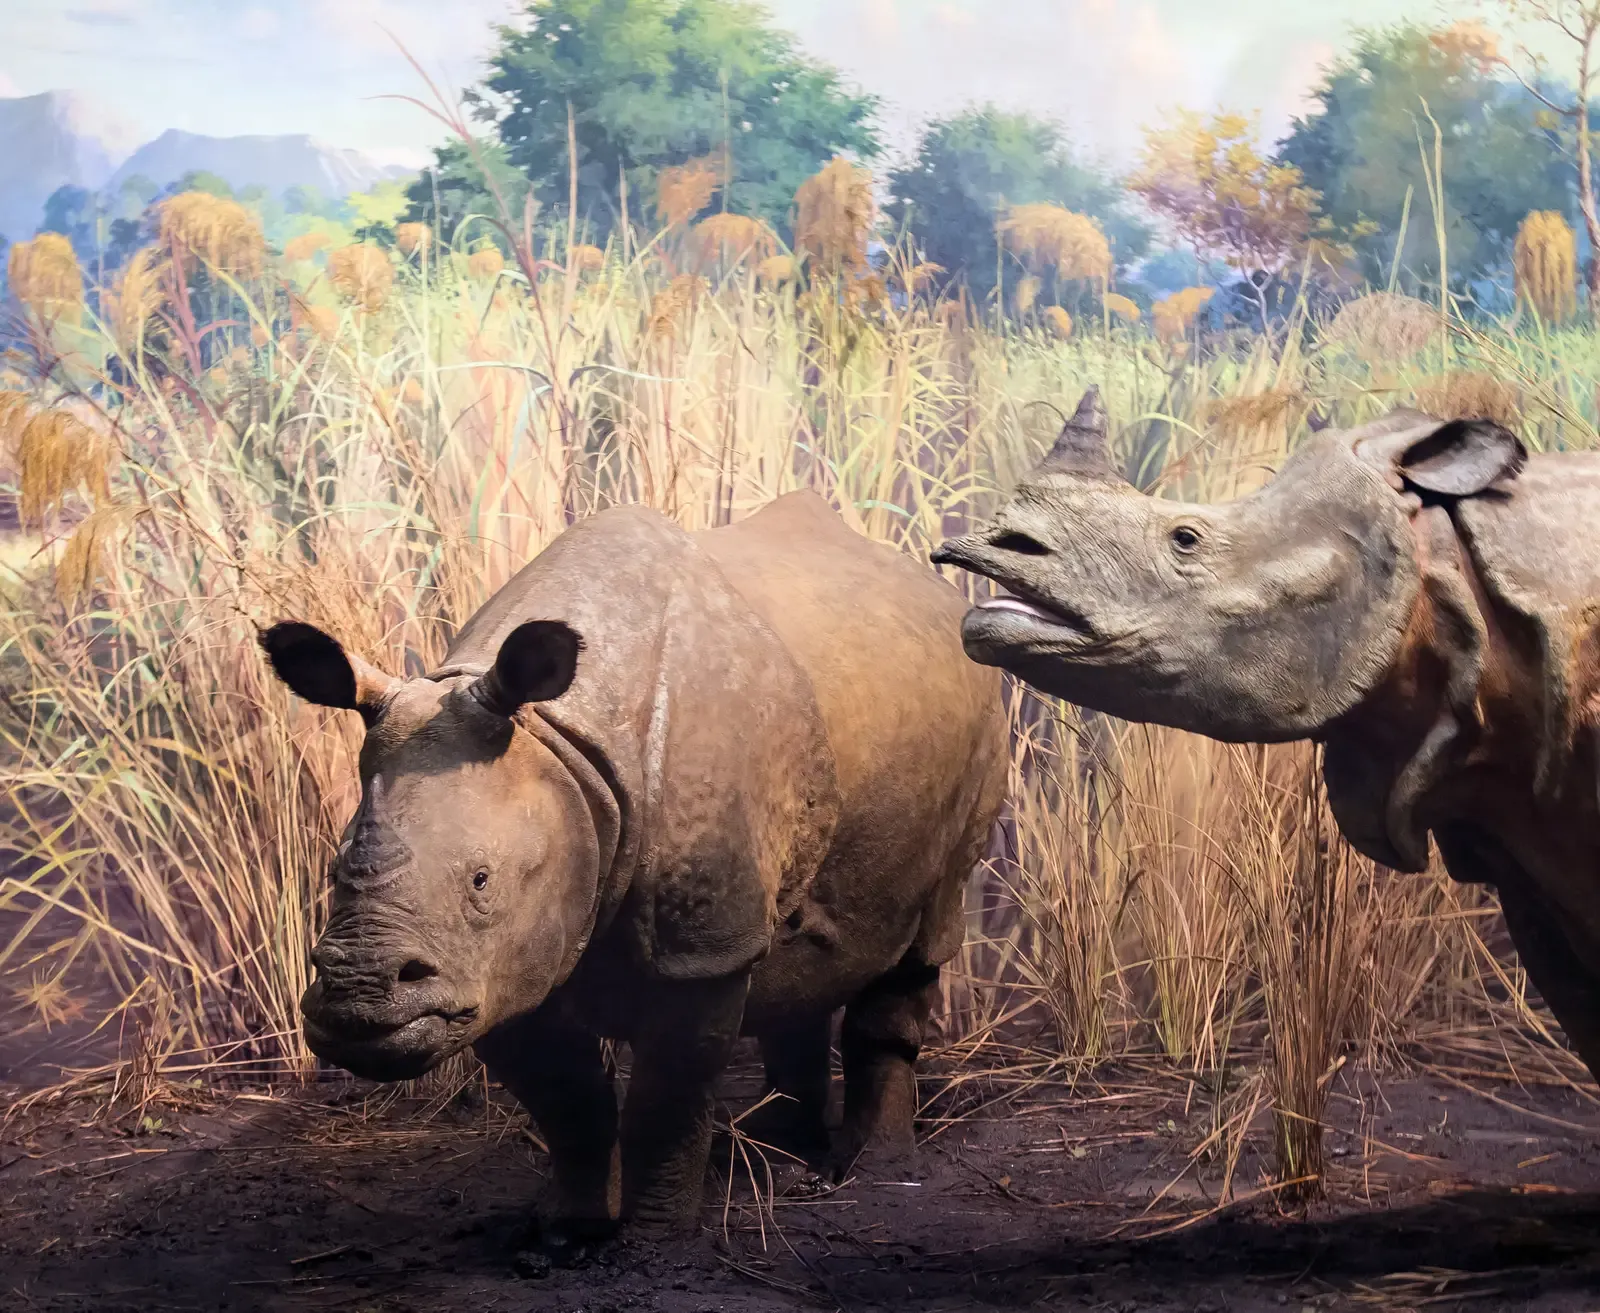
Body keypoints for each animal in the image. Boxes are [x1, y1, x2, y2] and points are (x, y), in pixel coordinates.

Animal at [261, 491, 1007, 1244]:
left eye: (481, 880)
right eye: (335, 869)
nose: (358, 993)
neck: (562, 744)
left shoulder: (697, 948)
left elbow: (664, 1102)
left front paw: (655, 1243)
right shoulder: (501, 966)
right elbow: (567, 1100)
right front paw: (570, 1230)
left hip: (983, 707)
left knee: (923, 936)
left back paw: (872, 1170)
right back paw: (781, 1148)